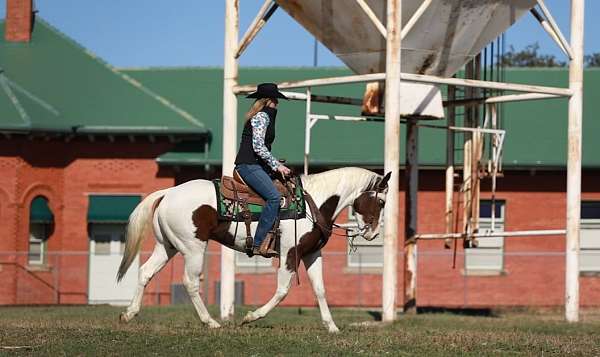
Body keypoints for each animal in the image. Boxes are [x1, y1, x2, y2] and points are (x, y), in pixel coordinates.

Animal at [116, 167, 390, 330]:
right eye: (381, 201)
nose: (373, 233)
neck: (314, 203)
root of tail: (168, 193)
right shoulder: (290, 254)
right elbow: (282, 291)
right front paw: (251, 317)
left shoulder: (312, 254)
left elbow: (320, 290)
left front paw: (331, 326)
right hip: (193, 248)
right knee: (190, 282)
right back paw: (210, 322)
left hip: (167, 246)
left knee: (145, 272)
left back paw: (129, 314)